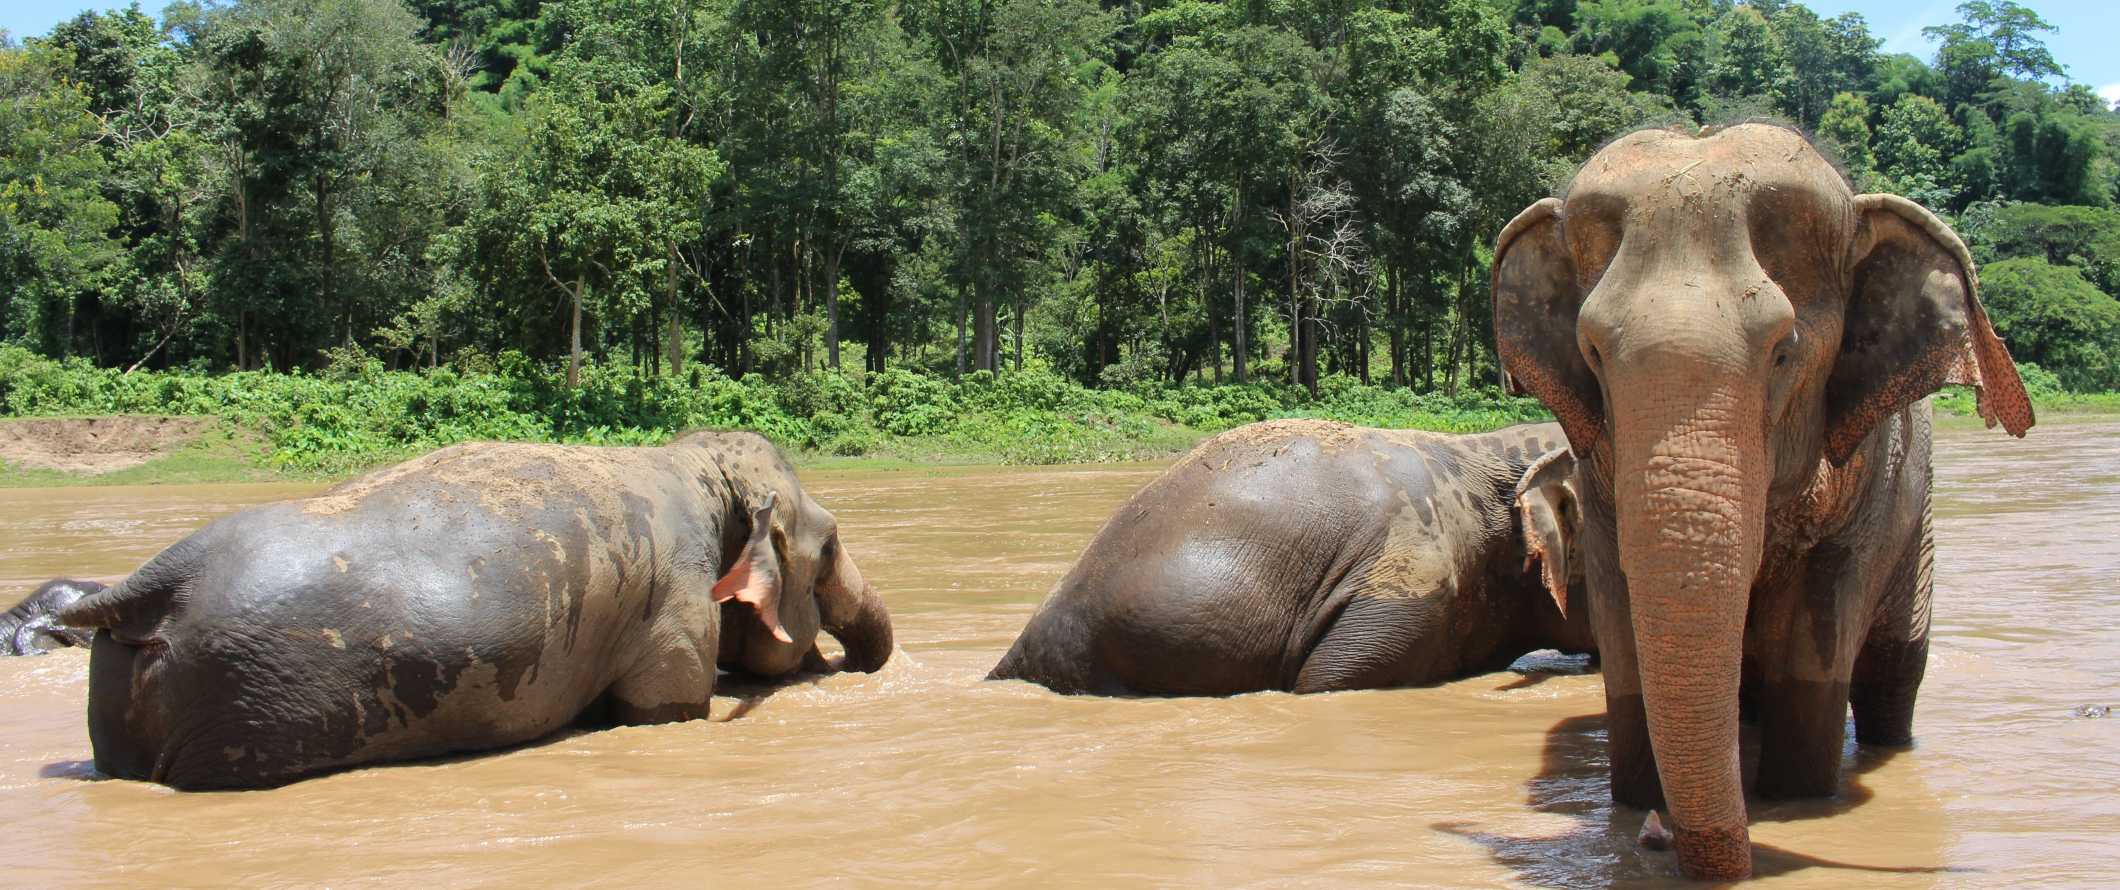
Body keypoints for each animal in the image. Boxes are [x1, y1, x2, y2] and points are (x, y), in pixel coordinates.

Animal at [55, 430, 886, 784]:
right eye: (830, 549)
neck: (697, 463)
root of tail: (156, 580)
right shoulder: (676, 604)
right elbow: (662, 711)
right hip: (241, 709)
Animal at [1483, 121, 2026, 881]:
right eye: (1591, 353)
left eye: (1783, 352)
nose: (1655, 838)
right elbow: (1624, 625)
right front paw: (1636, 804)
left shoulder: (1870, 484)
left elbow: (1819, 637)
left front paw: (1796, 800)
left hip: (1916, 533)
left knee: (1894, 677)